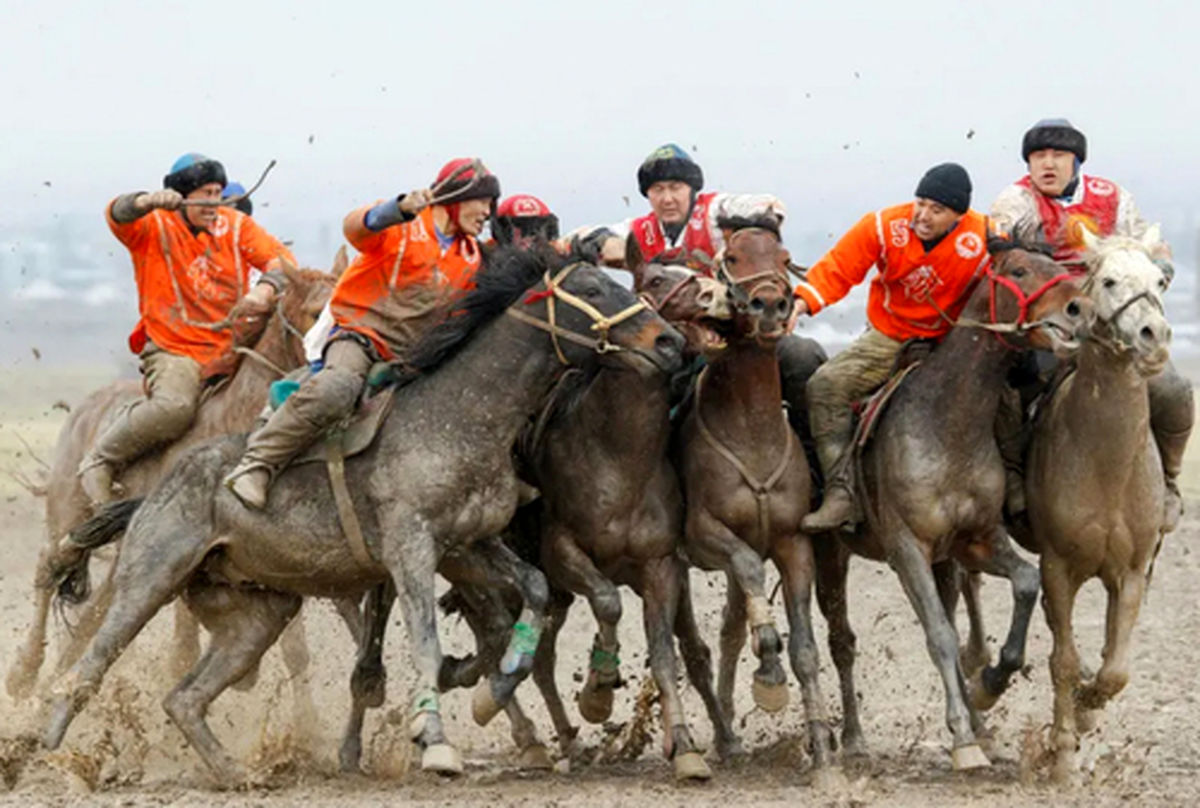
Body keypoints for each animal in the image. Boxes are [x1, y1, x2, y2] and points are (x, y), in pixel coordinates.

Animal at [7, 256, 340, 701]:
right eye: (315, 312)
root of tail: (84, 410)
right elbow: (184, 648)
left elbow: (294, 649)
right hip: (68, 513)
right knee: (50, 567)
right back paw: (24, 673)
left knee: (92, 611)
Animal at [676, 220, 844, 782]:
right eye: (731, 256)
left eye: (784, 256)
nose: (770, 304)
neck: (751, 429)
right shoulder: (706, 535)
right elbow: (753, 581)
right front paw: (768, 669)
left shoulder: (794, 543)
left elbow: (806, 649)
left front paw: (822, 752)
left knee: (730, 628)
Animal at [811, 240, 1094, 768]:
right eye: (1019, 270)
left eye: (1058, 265)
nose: (1080, 309)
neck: (947, 423)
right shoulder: (907, 550)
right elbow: (940, 634)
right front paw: (962, 736)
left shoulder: (974, 541)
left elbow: (1026, 583)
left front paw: (990, 685)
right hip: (830, 553)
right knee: (842, 641)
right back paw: (854, 738)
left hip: (945, 563)